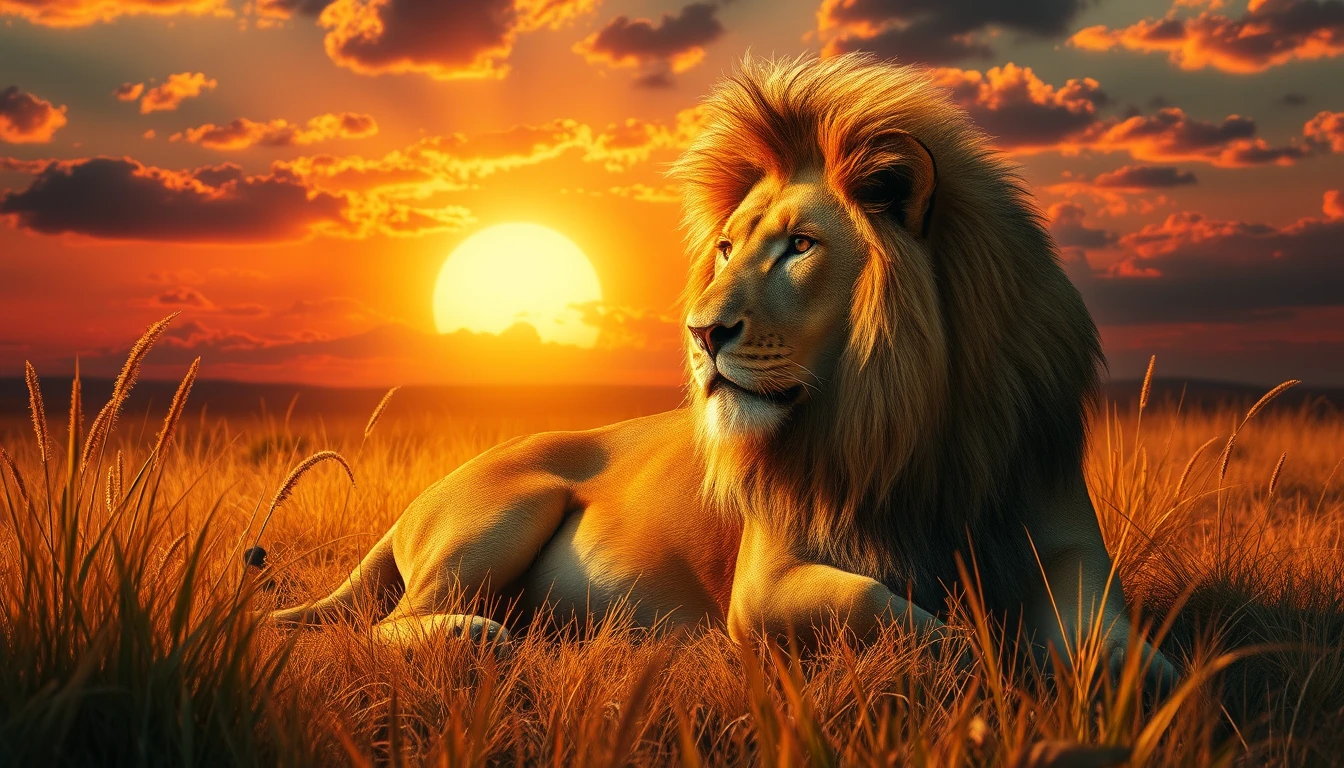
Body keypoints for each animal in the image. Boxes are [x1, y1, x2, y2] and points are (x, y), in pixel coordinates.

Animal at [272, 53, 1174, 685]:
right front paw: (981, 653)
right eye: (727, 247)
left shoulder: (1068, 542)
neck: (912, 427)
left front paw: (1158, 680)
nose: (702, 333)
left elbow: (1108, 636)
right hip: (500, 509)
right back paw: (478, 636)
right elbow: (883, 606)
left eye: (801, 246)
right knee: (383, 623)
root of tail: (409, 508)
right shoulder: (765, 585)